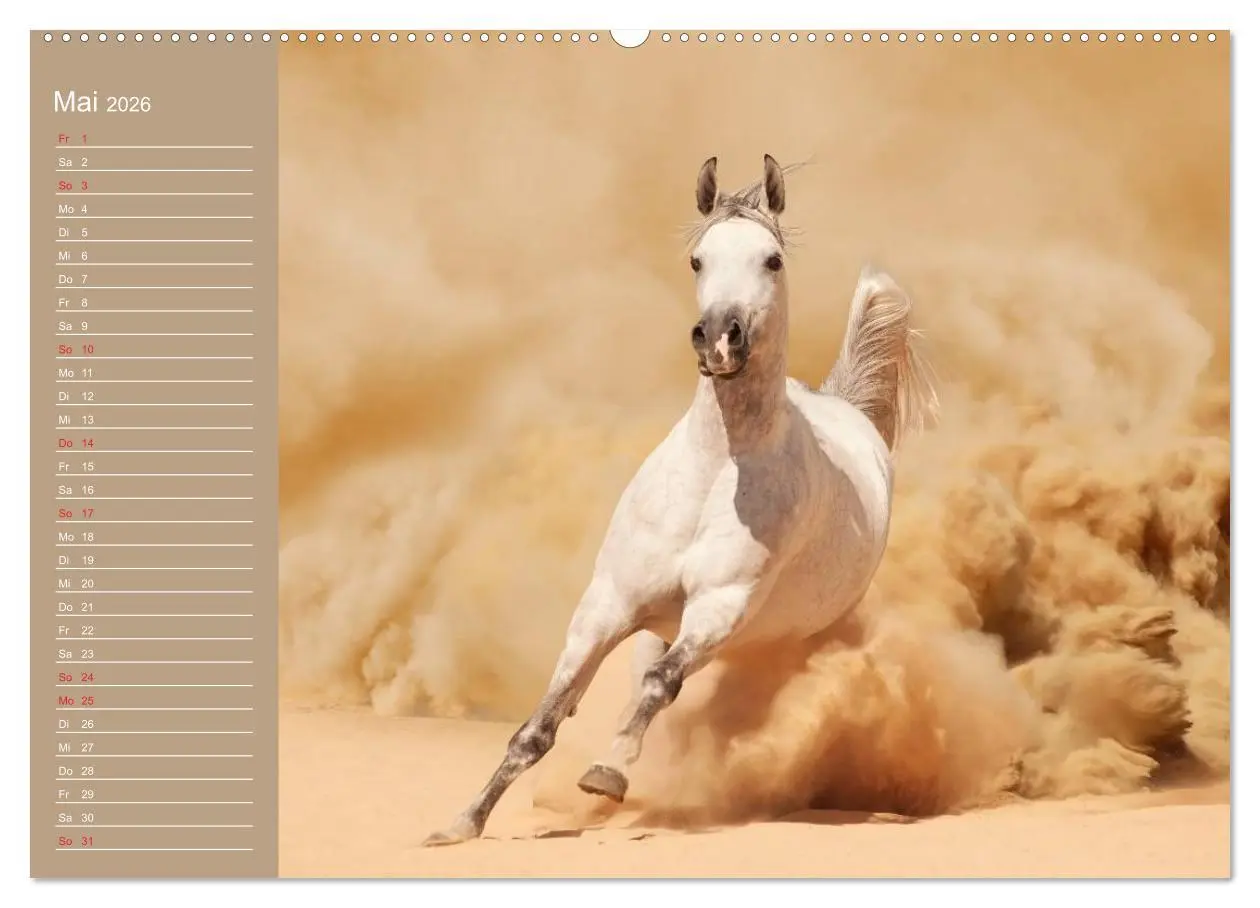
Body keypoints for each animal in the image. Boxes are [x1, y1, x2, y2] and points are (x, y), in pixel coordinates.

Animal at [423, 153, 938, 846]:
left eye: (772, 260)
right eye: (698, 259)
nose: (719, 337)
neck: (715, 476)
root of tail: (846, 407)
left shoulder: (719, 608)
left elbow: (660, 686)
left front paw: (606, 775)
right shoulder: (606, 605)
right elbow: (542, 724)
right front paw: (461, 824)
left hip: (781, 634)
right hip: (659, 621)